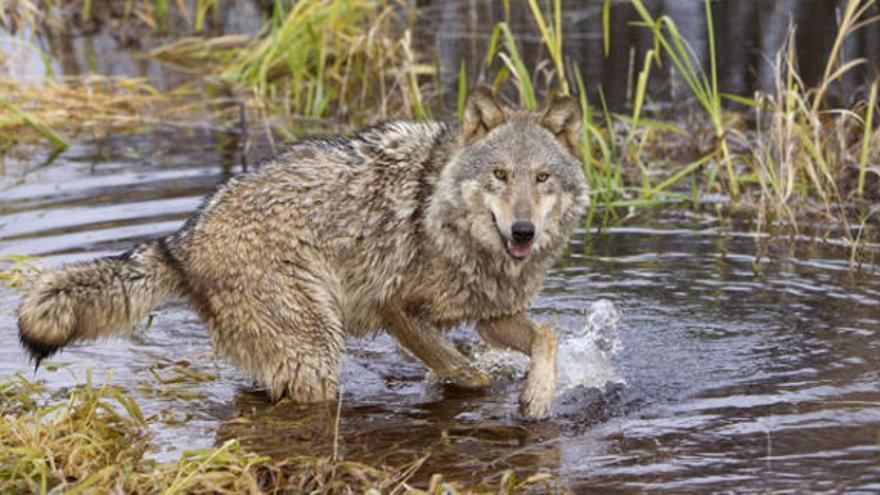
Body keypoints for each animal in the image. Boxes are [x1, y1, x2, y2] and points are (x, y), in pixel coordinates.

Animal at [13, 88, 588, 418]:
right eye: (500, 175)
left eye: (542, 178)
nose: (523, 231)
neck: (446, 216)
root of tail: (183, 239)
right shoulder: (394, 309)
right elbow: (468, 372)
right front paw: (488, 387)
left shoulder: (493, 315)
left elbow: (547, 337)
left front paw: (538, 396)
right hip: (316, 348)